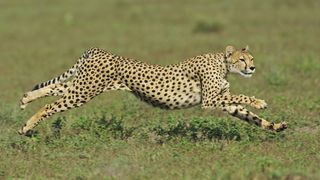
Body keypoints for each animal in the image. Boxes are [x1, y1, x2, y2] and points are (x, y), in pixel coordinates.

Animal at [18, 45, 288, 136]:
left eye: (251, 58)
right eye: (243, 60)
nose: (252, 67)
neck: (223, 63)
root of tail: (98, 50)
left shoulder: (223, 102)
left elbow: (249, 116)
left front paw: (275, 126)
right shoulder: (209, 100)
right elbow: (241, 97)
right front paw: (260, 102)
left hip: (83, 85)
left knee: (54, 88)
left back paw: (25, 99)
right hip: (84, 91)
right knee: (51, 105)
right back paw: (26, 127)